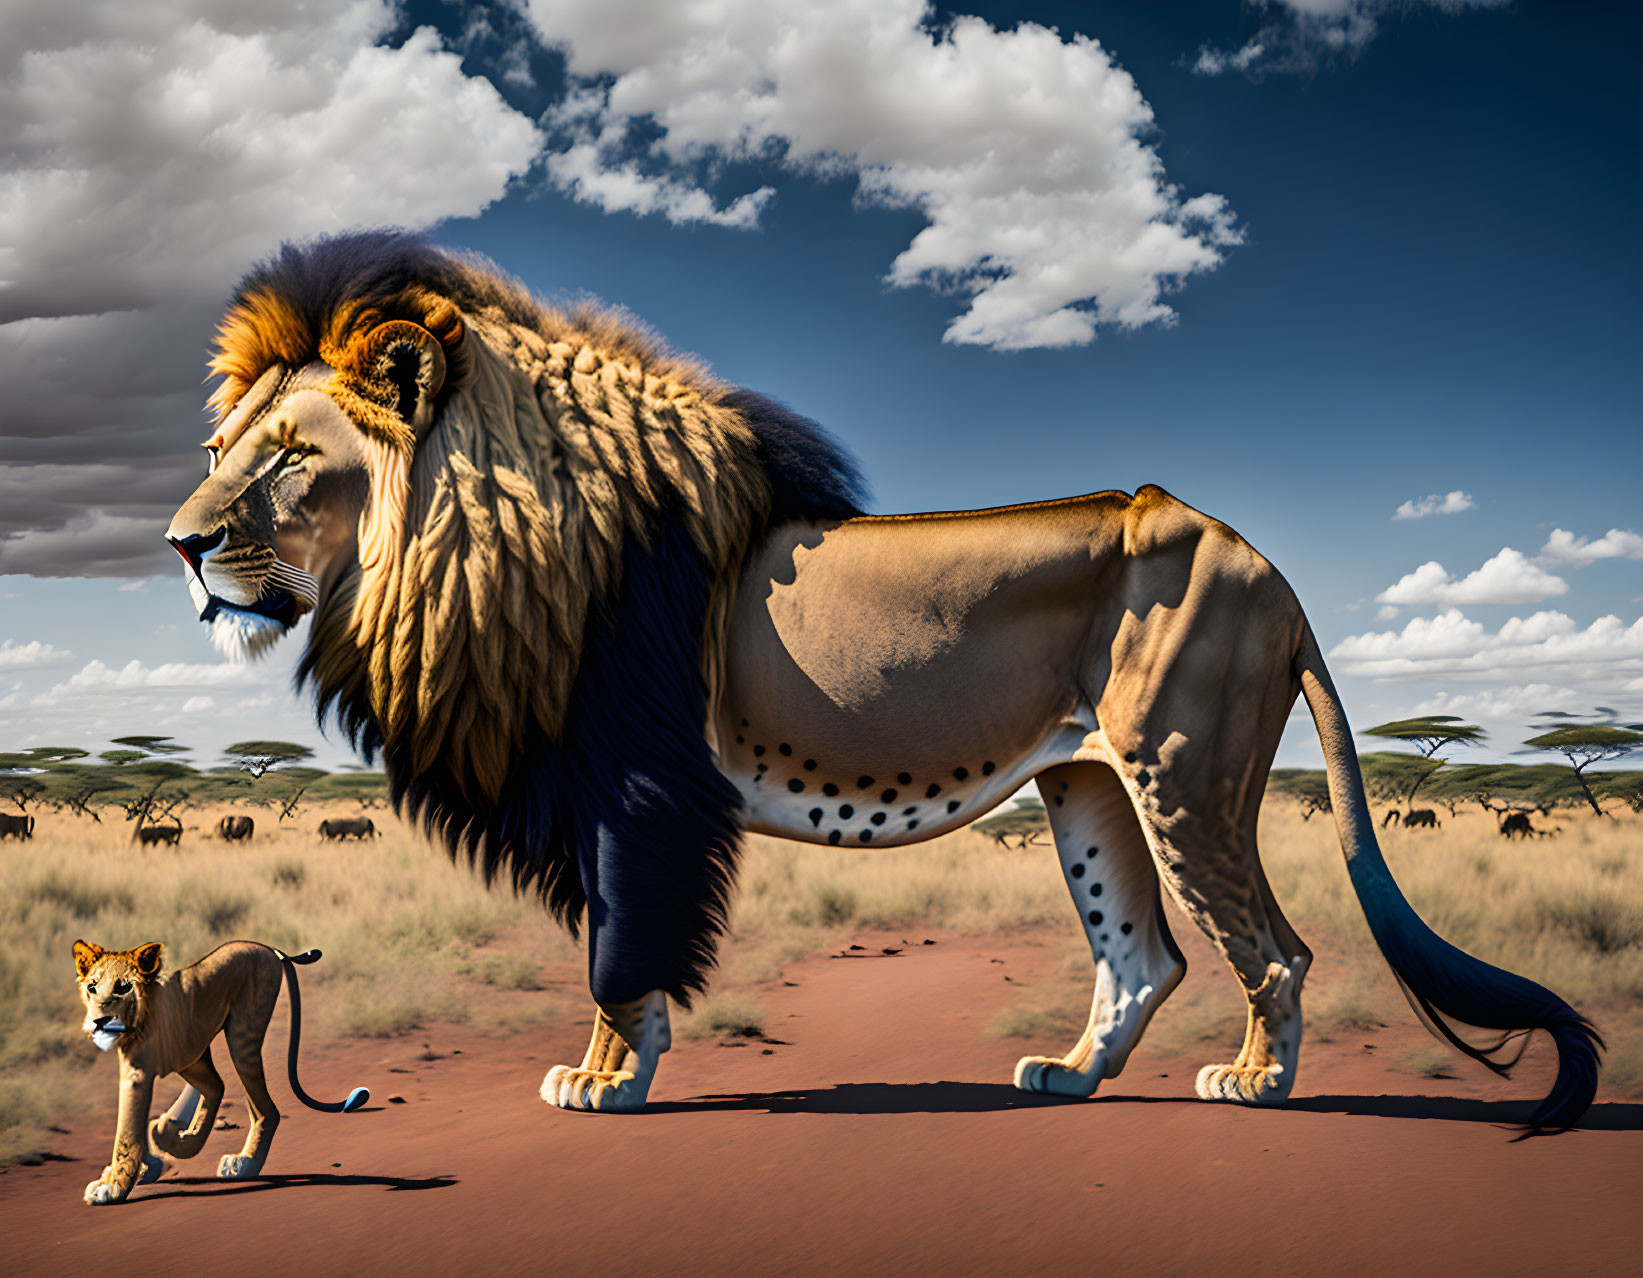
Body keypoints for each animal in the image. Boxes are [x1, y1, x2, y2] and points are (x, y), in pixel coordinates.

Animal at [73, 933, 366, 1202]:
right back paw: (188, 1142)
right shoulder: (187, 1059)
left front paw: (112, 1186)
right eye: (92, 988)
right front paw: (156, 1155)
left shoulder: (138, 1074)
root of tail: (268, 947)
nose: (99, 1021)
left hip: (242, 1034)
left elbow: (126, 1133)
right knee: (221, 1088)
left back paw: (244, 1163)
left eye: (123, 988)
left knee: (265, 1110)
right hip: (201, 1052)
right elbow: (146, 1125)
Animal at [170, 228, 1603, 1123]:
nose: (181, 545)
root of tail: (1263, 561)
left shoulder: (632, 787)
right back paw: (1069, 1075)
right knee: (1143, 956)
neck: (469, 545)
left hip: (1179, 769)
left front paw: (603, 1082)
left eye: (291, 458)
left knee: (1276, 952)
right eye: (227, 450)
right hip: (1086, 786)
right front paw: (619, 1070)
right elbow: (615, 947)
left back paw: (1253, 1084)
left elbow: (618, 951)